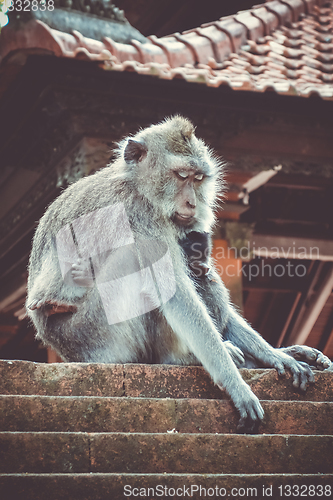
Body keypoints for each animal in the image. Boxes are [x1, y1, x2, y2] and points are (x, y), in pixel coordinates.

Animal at [26, 115, 330, 432]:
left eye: (198, 179)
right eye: (181, 175)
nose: (192, 202)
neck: (138, 186)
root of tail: (63, 350)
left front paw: (275, 355)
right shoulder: (140, 217)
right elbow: (176, 294)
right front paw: (236, 385)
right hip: (96, 338)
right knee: (134, 262)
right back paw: (180, 358)